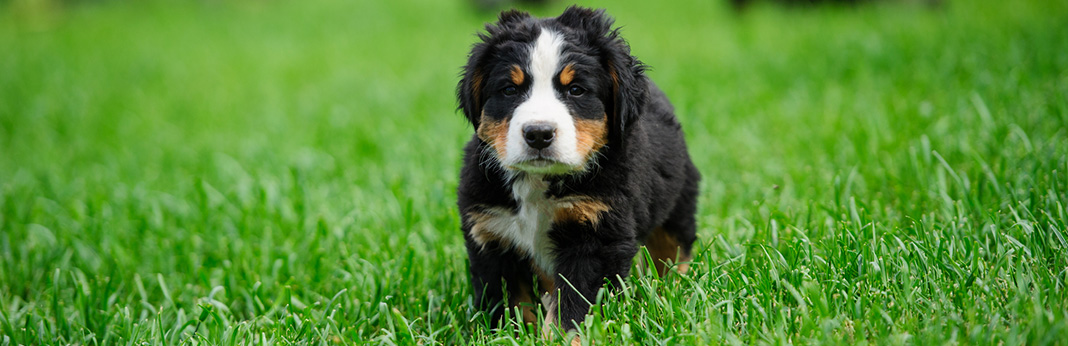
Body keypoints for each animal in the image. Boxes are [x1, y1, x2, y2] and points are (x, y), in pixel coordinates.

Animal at [457, 6, 700, 335]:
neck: (539, 183)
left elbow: (573, 305)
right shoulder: (492, 235)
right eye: (509, 90)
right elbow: (510, 304)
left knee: (673, 251)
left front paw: (561, 336)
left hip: (676, 206)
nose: (538, 134)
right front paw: (513, 335)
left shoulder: (596, 233)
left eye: (576, 90)